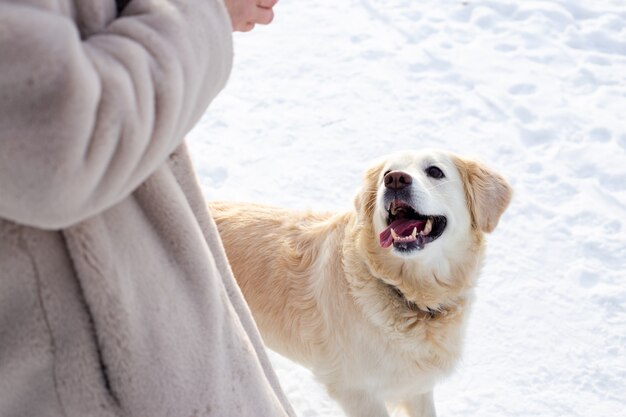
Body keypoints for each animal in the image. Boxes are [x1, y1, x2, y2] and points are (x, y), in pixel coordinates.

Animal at [207, 150, 510, 416]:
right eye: (387, 173)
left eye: (435, 171)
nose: (395, 180)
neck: (403, 292)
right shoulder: (356, 392)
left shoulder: (416, 387)